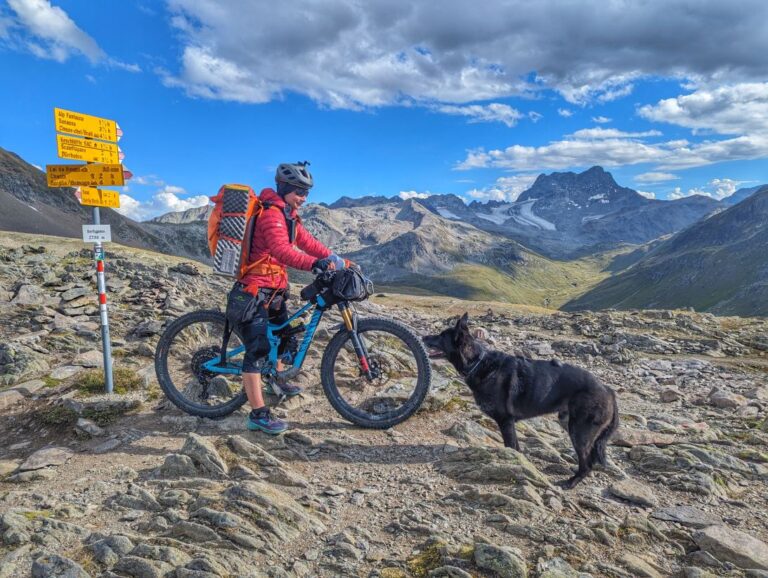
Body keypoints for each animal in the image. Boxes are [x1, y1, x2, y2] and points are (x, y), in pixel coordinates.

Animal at [424, 310, 620, 486]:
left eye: (441, 336)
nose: (424, 337)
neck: (477, 363)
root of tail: (608, 390)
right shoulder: (509, 423)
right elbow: (516, 448)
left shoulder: (505, 421)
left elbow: (510, 446)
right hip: (569, 423)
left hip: (578, 431)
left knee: (587, 464)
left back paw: (571, 482)